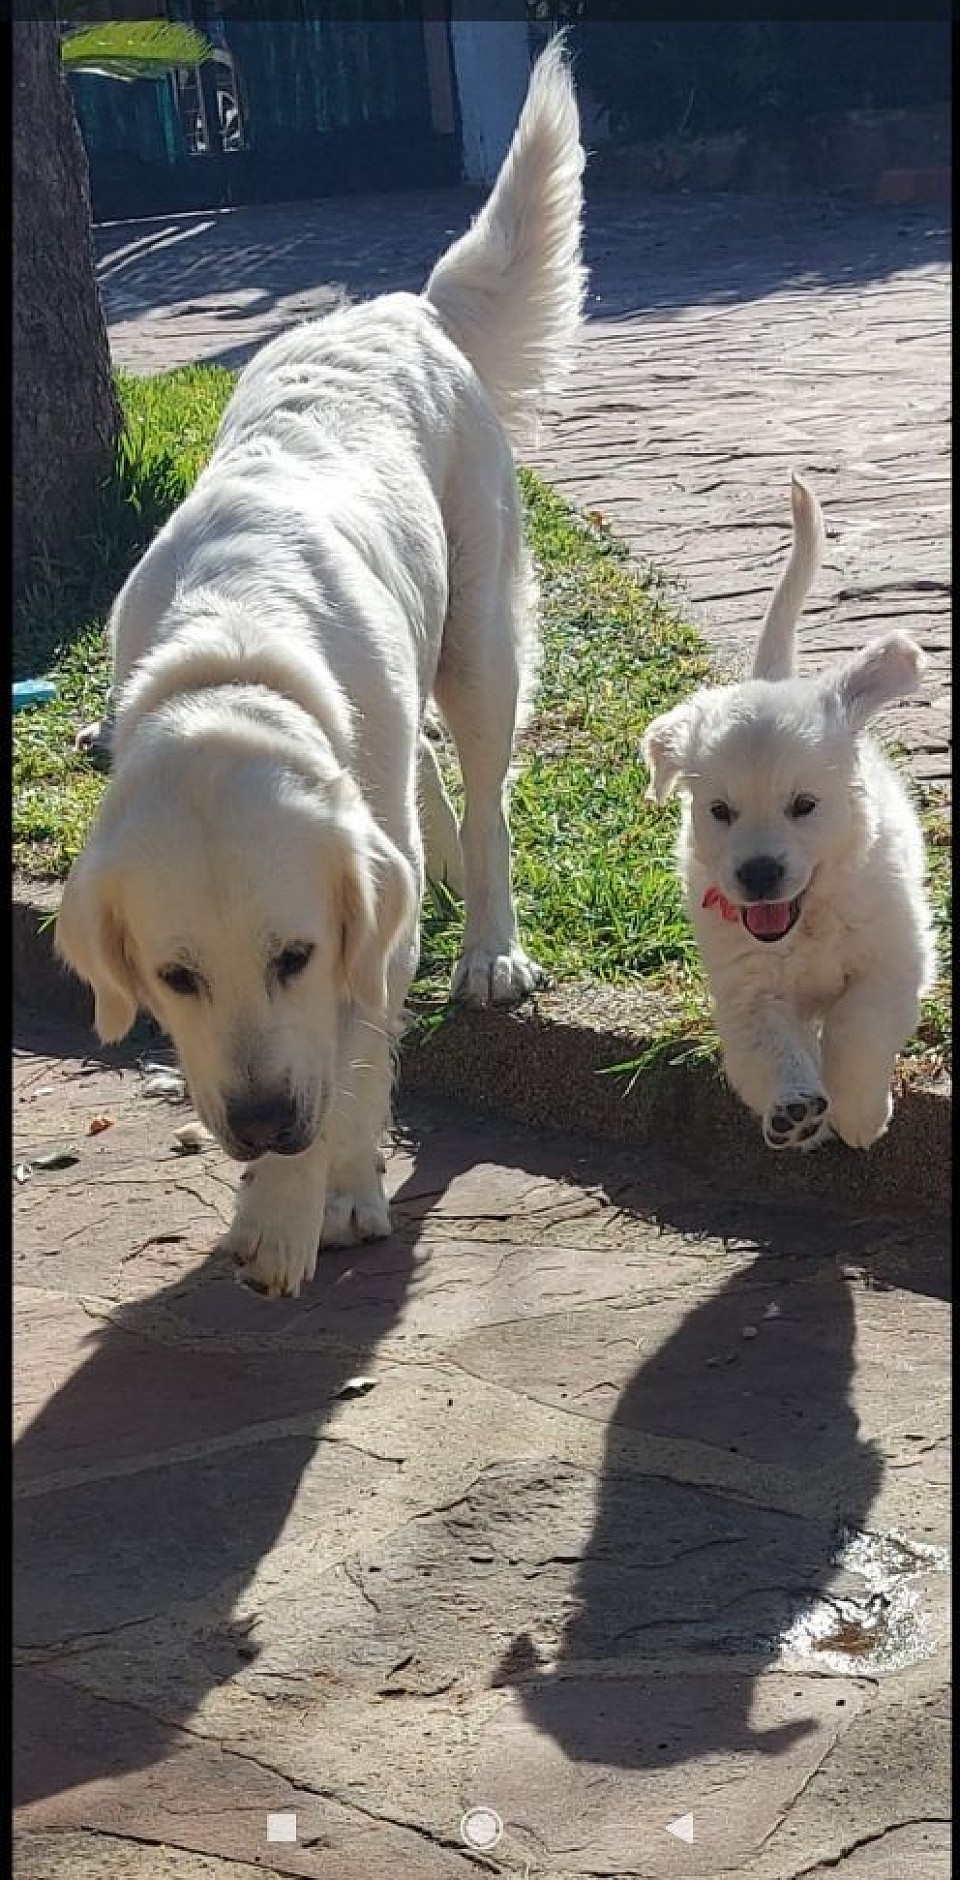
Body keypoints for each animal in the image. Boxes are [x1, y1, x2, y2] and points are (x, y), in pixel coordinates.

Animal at [58, 40, 586, 1293]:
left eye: (291, 954)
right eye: (175, 977)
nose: (259, 1122)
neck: (231, 661)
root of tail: (404, 305)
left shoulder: (349, 945)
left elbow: (349, 1049)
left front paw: (316, 1195)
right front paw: (293, 1186)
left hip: (479, 640)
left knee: (486, 798)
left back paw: (490, 945)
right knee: (426, 782)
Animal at [642, 477, 935, 1150]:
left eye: (804, 806)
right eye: (719, 811)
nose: (757, 875)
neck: (810, 919)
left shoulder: (893, 958)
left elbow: (857, 1028)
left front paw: (858, 1113)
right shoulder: (747, 986)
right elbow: (767, 1046)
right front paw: (795, 1110)